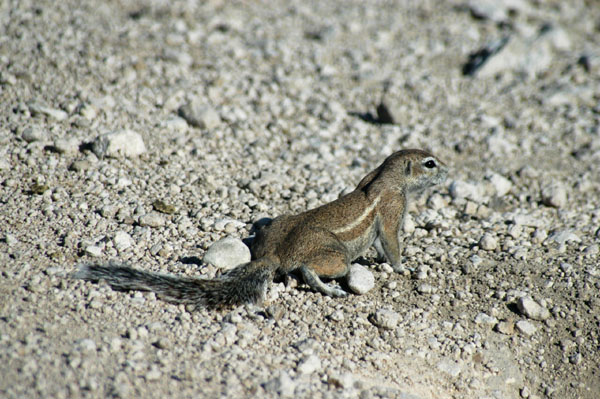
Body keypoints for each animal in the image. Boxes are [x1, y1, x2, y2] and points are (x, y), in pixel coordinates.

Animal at [74, 150, 446, 310]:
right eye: (430, 164)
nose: (448, 172)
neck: (388, 177)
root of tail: (274, 255)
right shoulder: (392, 210)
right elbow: (391, 243)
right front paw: (403, 267)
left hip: (275, 226)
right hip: (338, 256)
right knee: (308, 269)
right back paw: (328, 288)